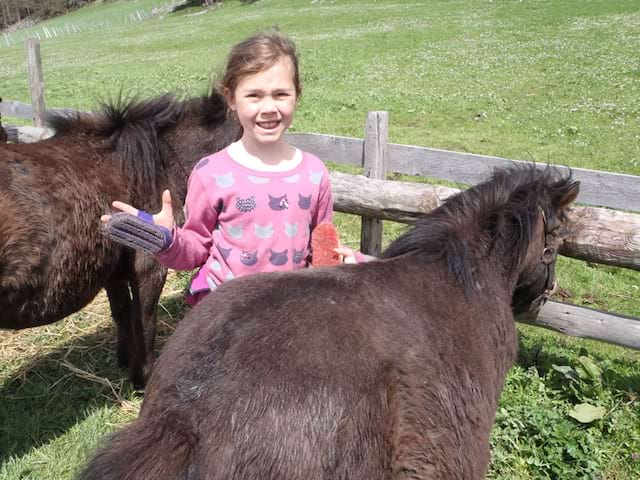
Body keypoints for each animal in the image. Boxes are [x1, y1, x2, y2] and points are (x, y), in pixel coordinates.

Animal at [0, 92, 240, 388]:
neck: (157, 163)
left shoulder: (113, 274)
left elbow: (122, 313)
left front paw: (125, 361)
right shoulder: (149, 269)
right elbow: (144, 322)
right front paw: (142, 378)